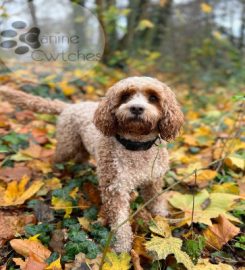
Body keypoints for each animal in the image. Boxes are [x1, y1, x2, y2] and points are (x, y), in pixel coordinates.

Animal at [0, 76, 184, 253]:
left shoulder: (154, 180)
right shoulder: (115, 189)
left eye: (153, 97)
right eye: (125, 96)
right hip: (68, 145)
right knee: (57, 158)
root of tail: (70, 106)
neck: (136, 146)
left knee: (81, 158)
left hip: (82, 146)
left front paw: (162, 217)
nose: (137, 108)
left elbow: (155, 200)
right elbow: (120, 223)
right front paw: (122, 247)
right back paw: (54, 174)